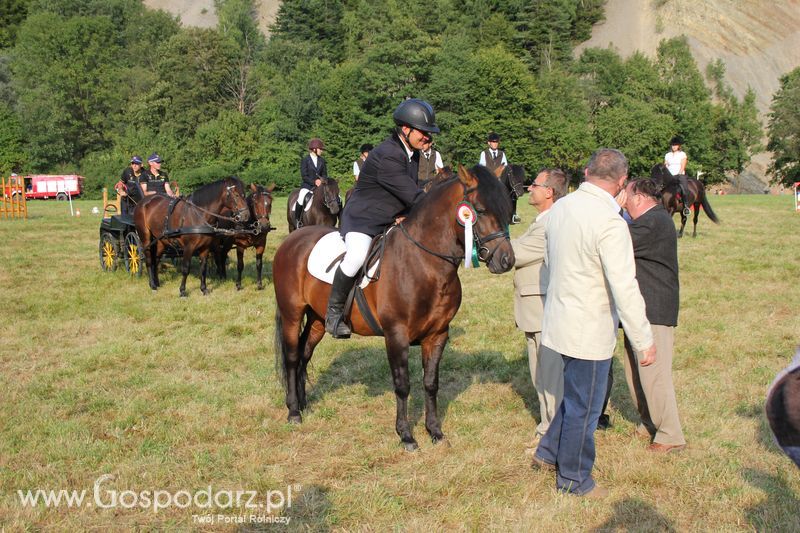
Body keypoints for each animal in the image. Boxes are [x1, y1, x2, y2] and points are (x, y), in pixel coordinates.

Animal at [272, 165, 516, 448]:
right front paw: (406, 435)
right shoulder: (396, 335)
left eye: (505, 209)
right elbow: (403, 385)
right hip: (292, 314)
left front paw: (435, 431)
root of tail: (292, 240)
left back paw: (302, 403)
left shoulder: (438, 334)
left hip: (318, 320)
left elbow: (431, 383)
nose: (506, 260)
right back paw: (293, 411)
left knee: (304, 354)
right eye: (480, 210)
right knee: (292, 358)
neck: (424, 263)